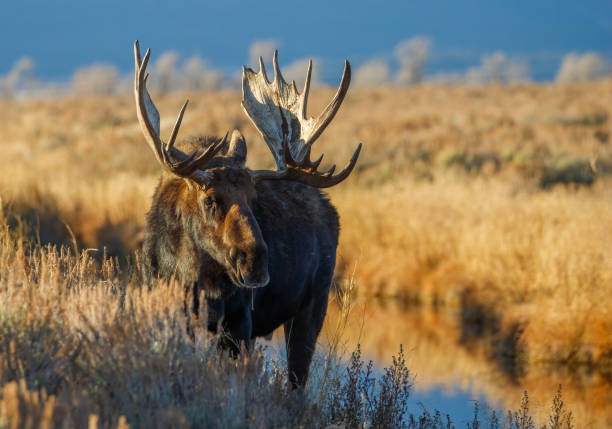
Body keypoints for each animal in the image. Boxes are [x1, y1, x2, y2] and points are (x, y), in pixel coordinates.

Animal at [136, 41, 360, 386]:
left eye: (253, 197)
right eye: (210, 200)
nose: (255, 263)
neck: (191, 274)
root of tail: (329, 208)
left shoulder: (240, 322)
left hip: (313, 305)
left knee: (297, 381)